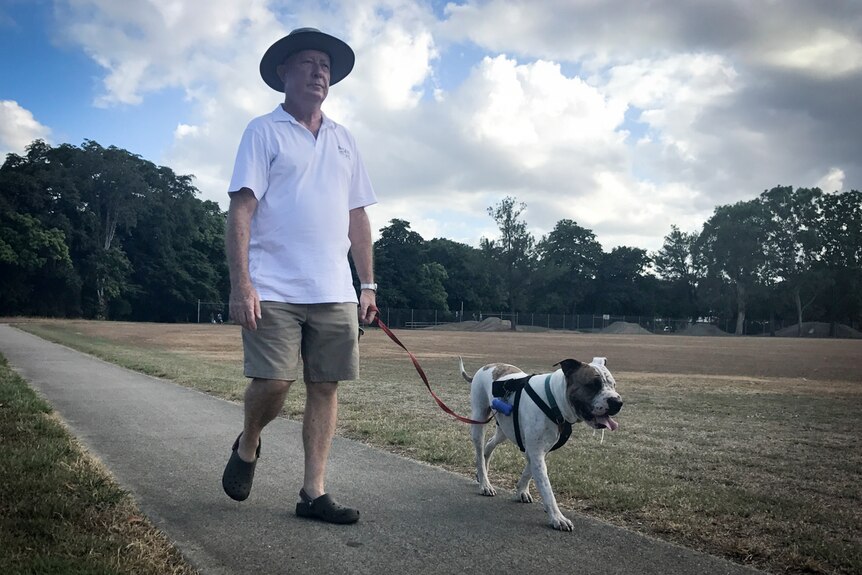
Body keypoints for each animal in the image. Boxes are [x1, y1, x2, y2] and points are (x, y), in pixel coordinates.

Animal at [462, 358, 624, 532]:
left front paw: (521, 490)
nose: (617, 402)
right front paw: (557, 517)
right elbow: (546, 488)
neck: (554, 400)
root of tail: (487, 366)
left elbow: (528, 472)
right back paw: (484, 483)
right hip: (479, 422)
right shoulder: (536, 452)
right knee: (479, 454)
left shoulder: (538, 450)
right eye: (593, 384)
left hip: (504, 429)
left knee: (489, 445)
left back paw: (483, 473)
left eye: (614, 384)